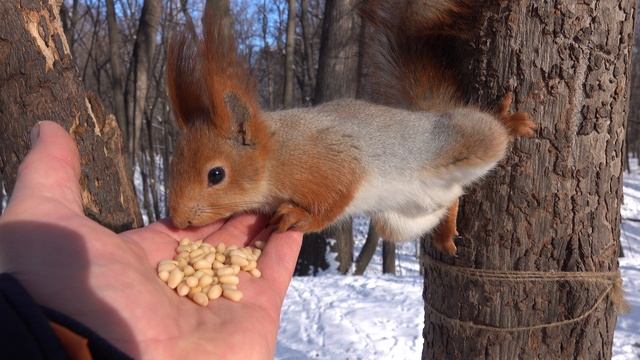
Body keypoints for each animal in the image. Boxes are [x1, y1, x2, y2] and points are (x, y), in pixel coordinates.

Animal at [165, 1, 536, 253]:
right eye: (172, 164)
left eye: (216, 175)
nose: (178, 221)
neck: (277, 156)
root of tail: (433, 113)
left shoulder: (334, 160)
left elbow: (335, 200)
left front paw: (300, 218)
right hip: (399, 221)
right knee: (450, 200)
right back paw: (445, 232)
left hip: (465, 140)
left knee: (491, 136)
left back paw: (508, 120)